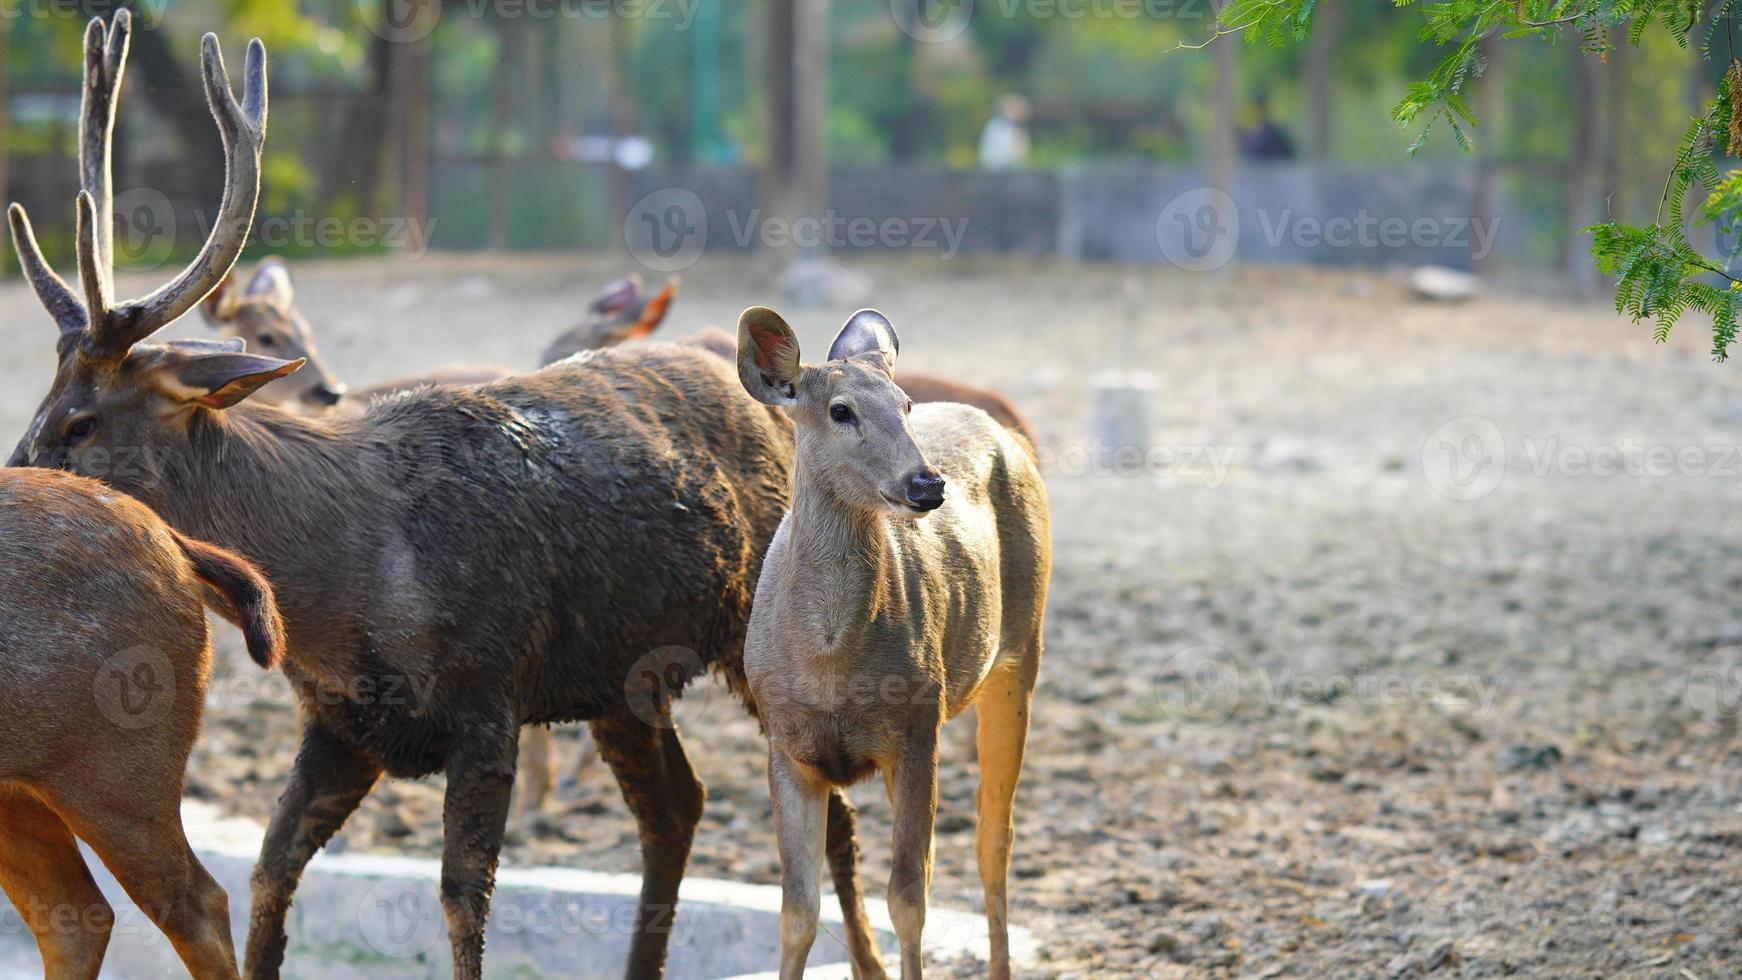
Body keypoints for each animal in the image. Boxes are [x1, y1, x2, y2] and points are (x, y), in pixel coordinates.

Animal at [6, 9, 891, 980]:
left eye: (81, 421)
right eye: (46, 401)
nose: (18, 469)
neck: (341, 590)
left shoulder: (488, 693)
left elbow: (461, 897)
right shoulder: (342, 726)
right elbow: (273, 873)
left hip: (753, 639)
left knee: (831, 813)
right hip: (623, 679)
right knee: (676, 805)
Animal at [735, 308, 1045, 980]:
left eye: (905, 405)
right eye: (840, 410)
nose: (927, 483)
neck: (829, 665)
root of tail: (1004, 428)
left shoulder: (916, 727)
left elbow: (908, 900)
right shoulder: (784, 743)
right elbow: (797, 912)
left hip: (1020, 652)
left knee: (994, 837)